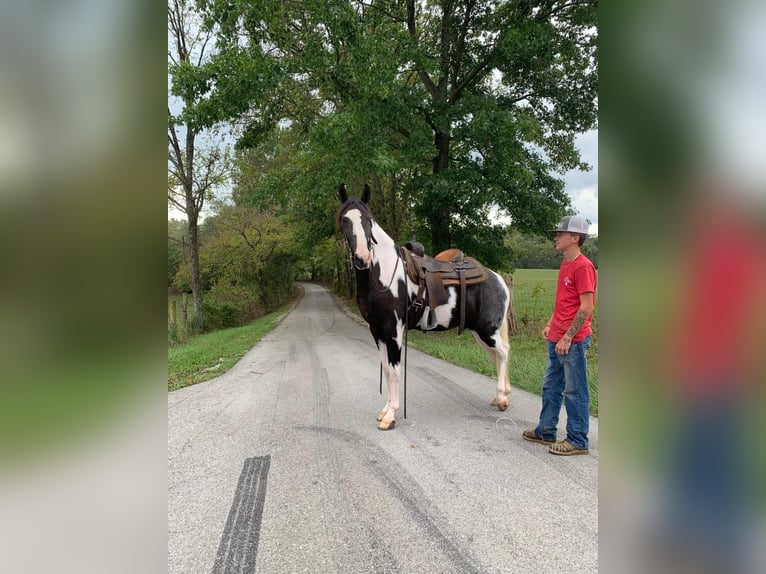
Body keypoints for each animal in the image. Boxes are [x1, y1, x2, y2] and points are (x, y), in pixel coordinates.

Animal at [338, 184, 512, 432]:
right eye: (345, 220)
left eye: (368, 220)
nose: (363, 258)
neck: (384, 274)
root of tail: (497, 279)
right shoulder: (376, 330)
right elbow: (385, 367)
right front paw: (384, 411)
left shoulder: (393, 329)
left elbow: (394, 370)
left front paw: (391, 415)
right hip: (480, 332)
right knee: (496, 355)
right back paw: (499, 397)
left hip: (488, 330)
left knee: (503, 352)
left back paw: (502, 398)